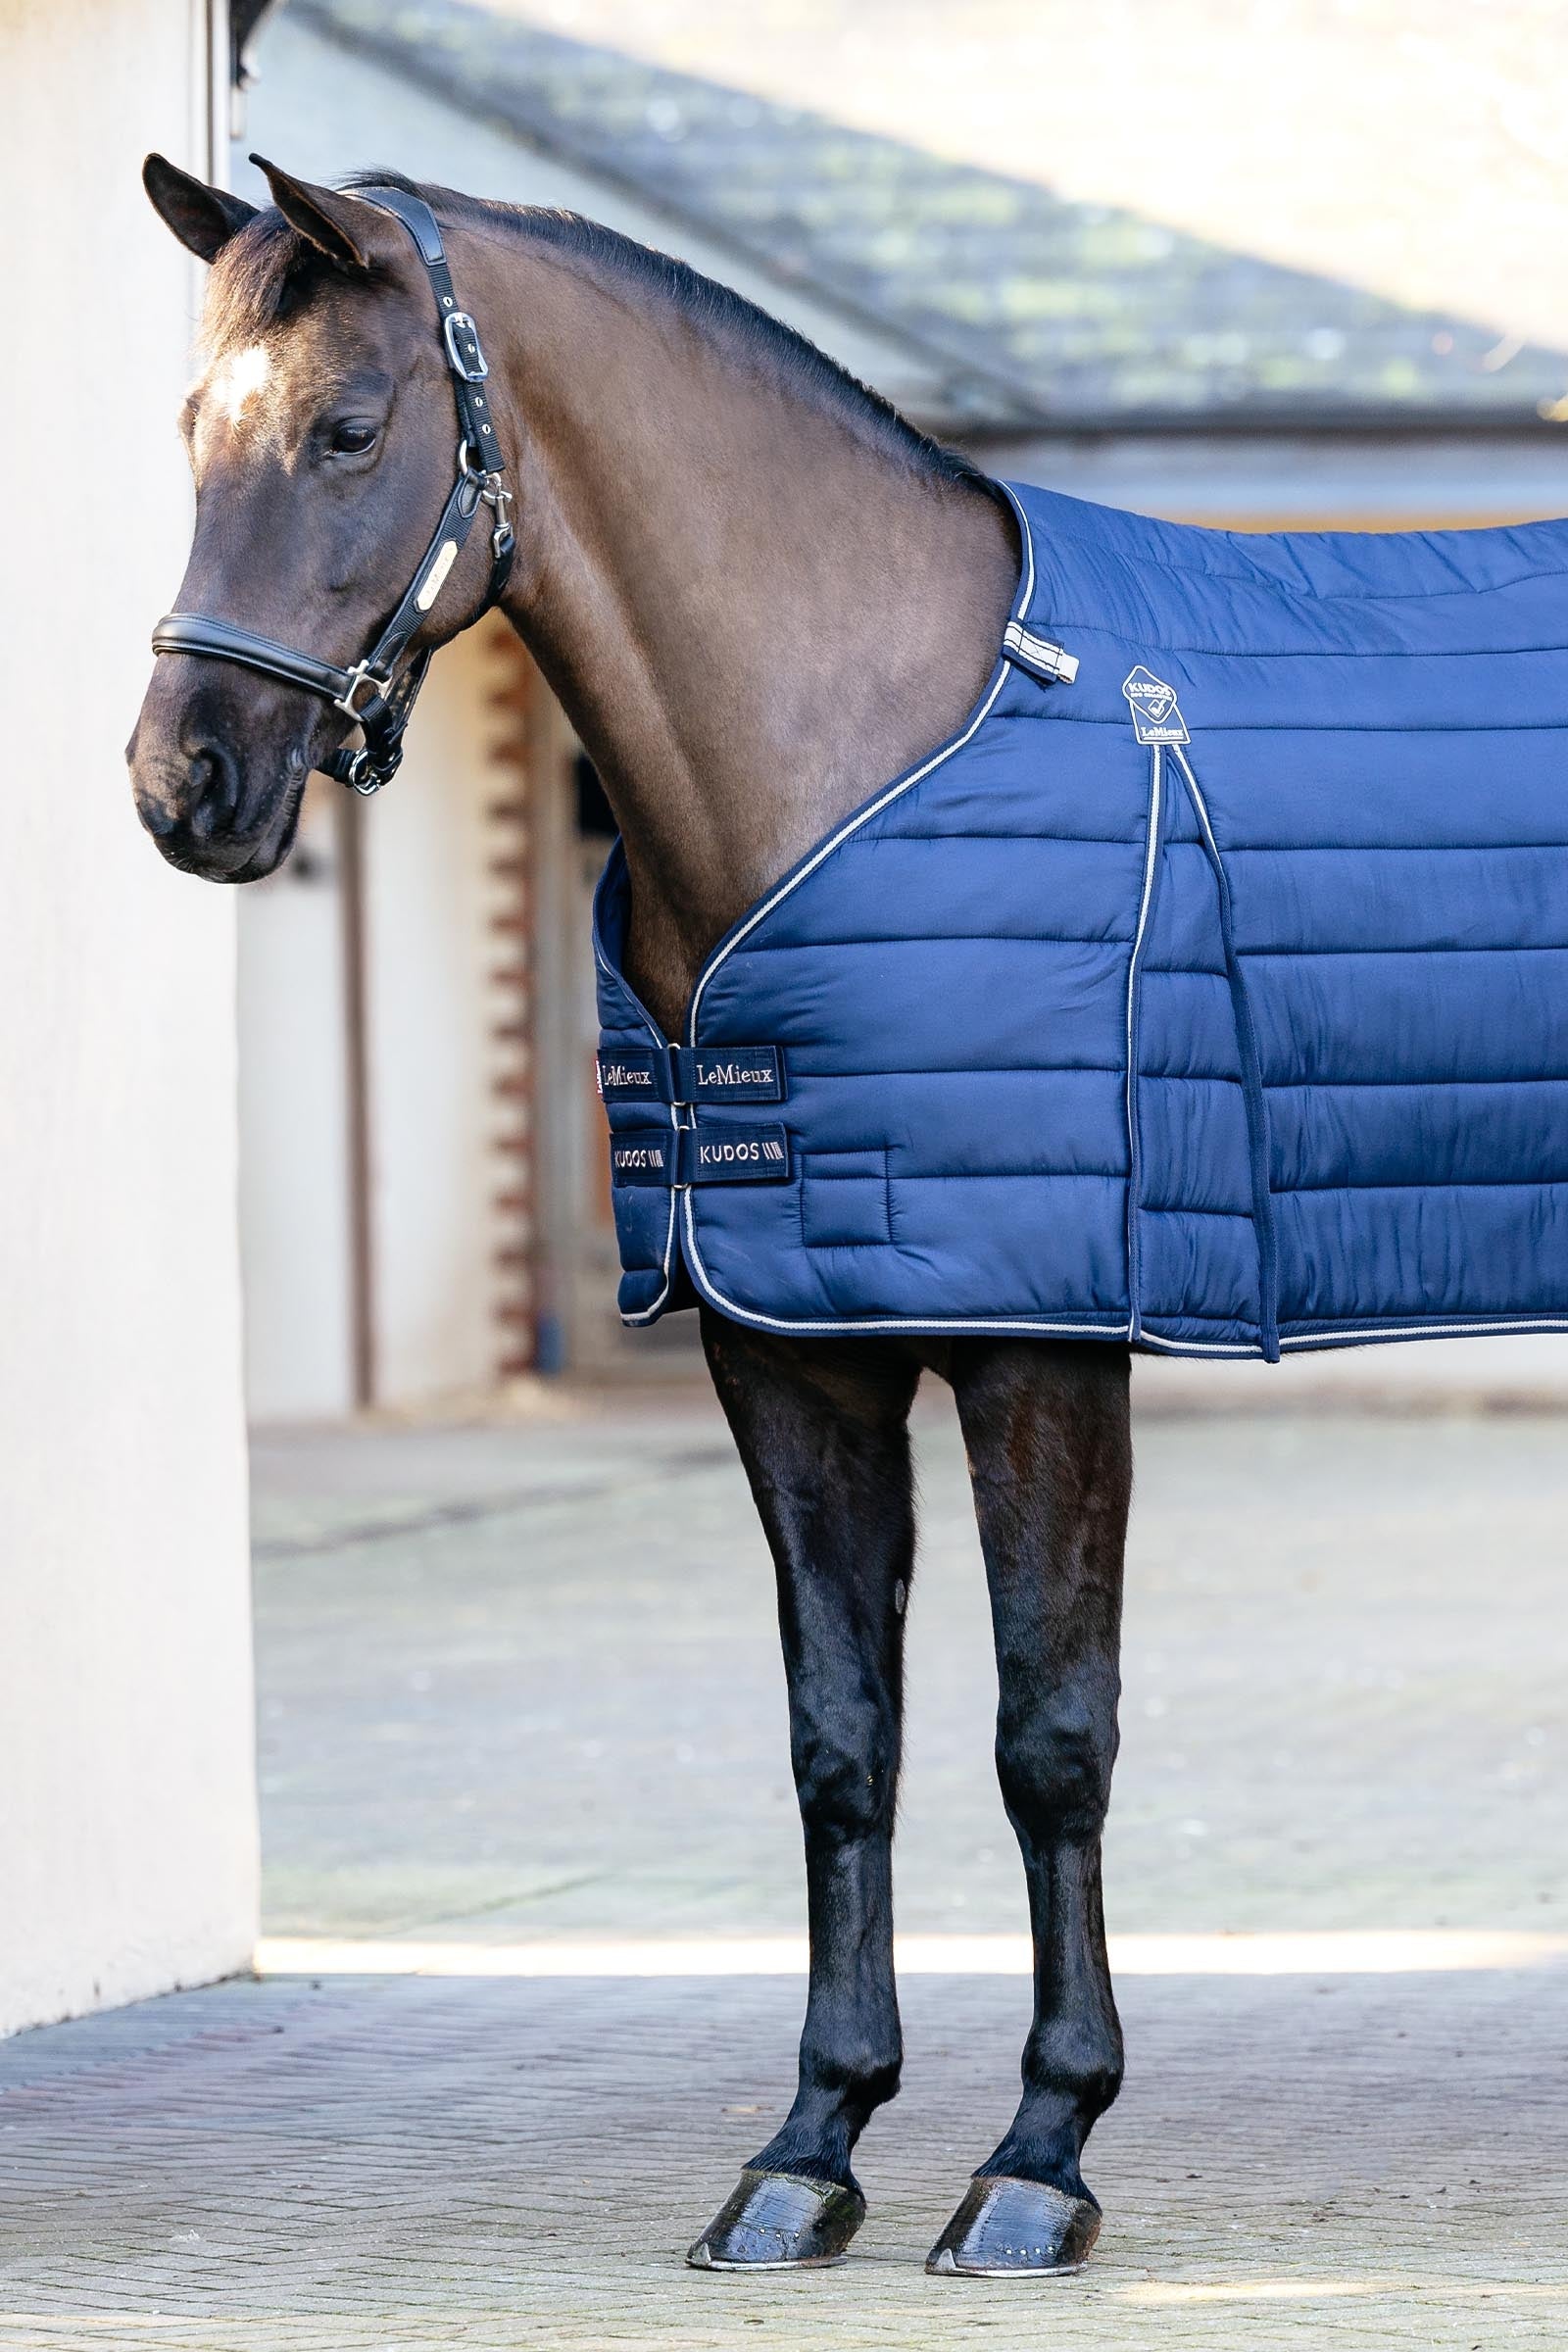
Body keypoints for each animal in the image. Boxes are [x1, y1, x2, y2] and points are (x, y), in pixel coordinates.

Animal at [128, 153, 1150, 2279]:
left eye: (349, 429)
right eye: (190, 430)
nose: (183, 782)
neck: (867, 757)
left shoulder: (1044, 1352)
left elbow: (1047, 1738)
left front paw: (1038, 2160)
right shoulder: (788, 1360)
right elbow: (840, 1738)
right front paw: (808, 2148)